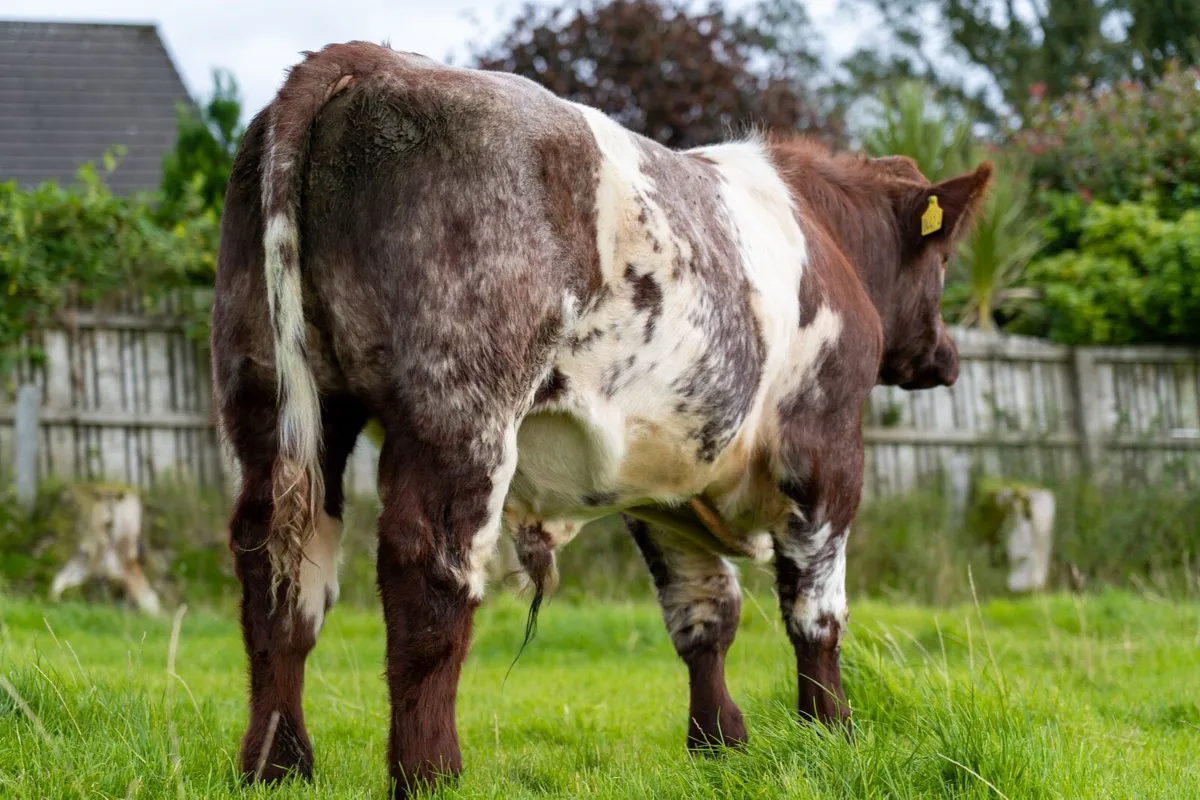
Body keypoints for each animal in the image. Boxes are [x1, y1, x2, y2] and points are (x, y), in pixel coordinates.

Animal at [211, 40, 991, 797]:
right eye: (945, 258)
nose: (948, 357)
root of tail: (369, 58)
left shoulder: (664, 479)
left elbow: (705, 612)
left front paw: (718, 745)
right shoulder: (826, 451)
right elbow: (816, 613)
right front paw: (831, 735)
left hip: (275, 397)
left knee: (279, 570)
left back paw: (276, 767)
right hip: (460, 407)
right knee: (428, 573)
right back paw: (430, 773)